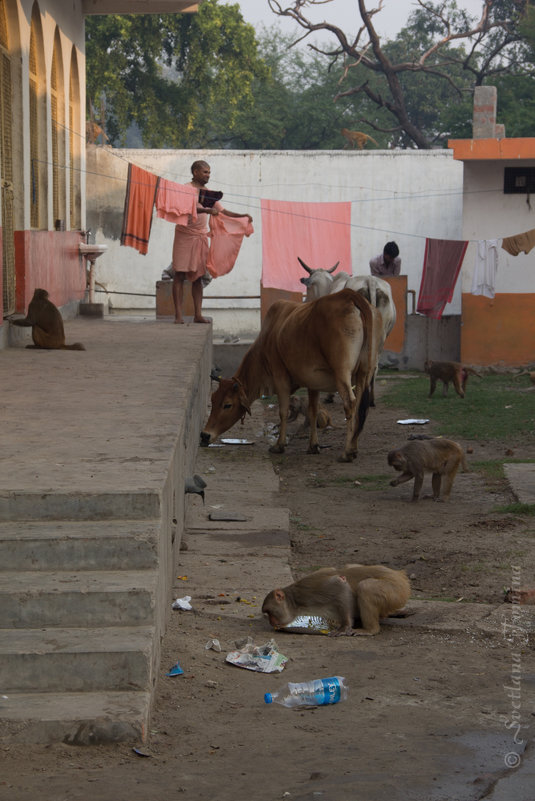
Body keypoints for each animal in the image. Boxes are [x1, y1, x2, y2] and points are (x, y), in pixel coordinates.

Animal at [201, 290, 382, 462]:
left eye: (227, 405)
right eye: (212, 400)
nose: (204, 435)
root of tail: (350, 295)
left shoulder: (280, 376)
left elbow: (282, 411)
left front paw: (279, 445)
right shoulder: (313, 382)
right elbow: (313, 411)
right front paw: (313, 446)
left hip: (342, 372)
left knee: (350, 404)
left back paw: (347, 452)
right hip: (365, 373)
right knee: (361, 407)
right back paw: (354, 448)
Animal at [262, 564, 410, 636]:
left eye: (269, 613)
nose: (270, 622)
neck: (294, 602)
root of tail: (399, 575)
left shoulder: (308, 595)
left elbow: (339, 584)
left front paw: (344, 626)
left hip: (396, 590)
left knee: (366, 586)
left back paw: (370, 629)